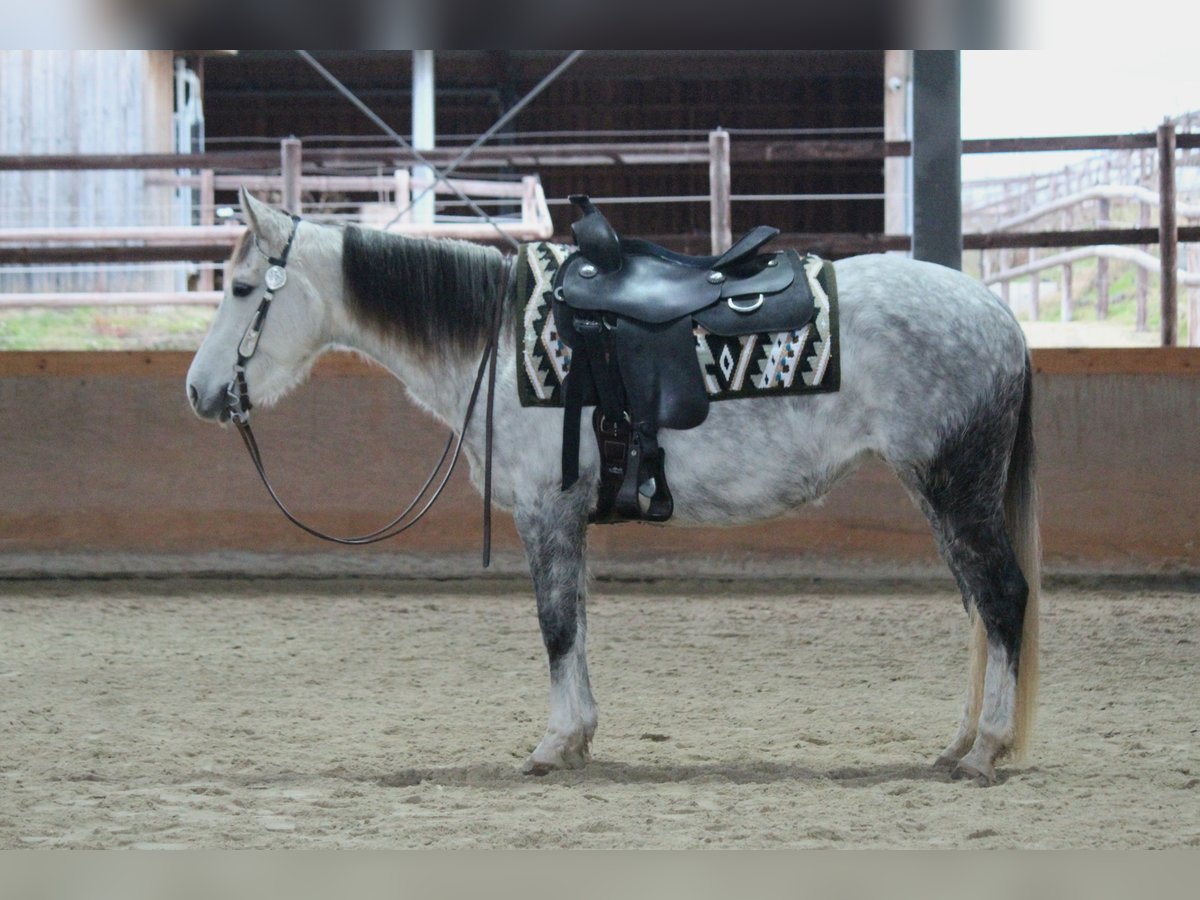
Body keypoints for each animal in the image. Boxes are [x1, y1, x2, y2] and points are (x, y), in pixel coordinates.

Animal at [182, 188, 1036, 782]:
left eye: (242, 288)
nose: (198, 392)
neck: (495, 340)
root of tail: (999, 315)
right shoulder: (570, 516)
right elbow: (580, 622)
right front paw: (580, 738)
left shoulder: (544, 509)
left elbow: (556, 624)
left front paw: (553, 744)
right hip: (942, 491)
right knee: (978, 608)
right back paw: (959, 744)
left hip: (954, 483)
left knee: (1001, 599)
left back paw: (985, 751)